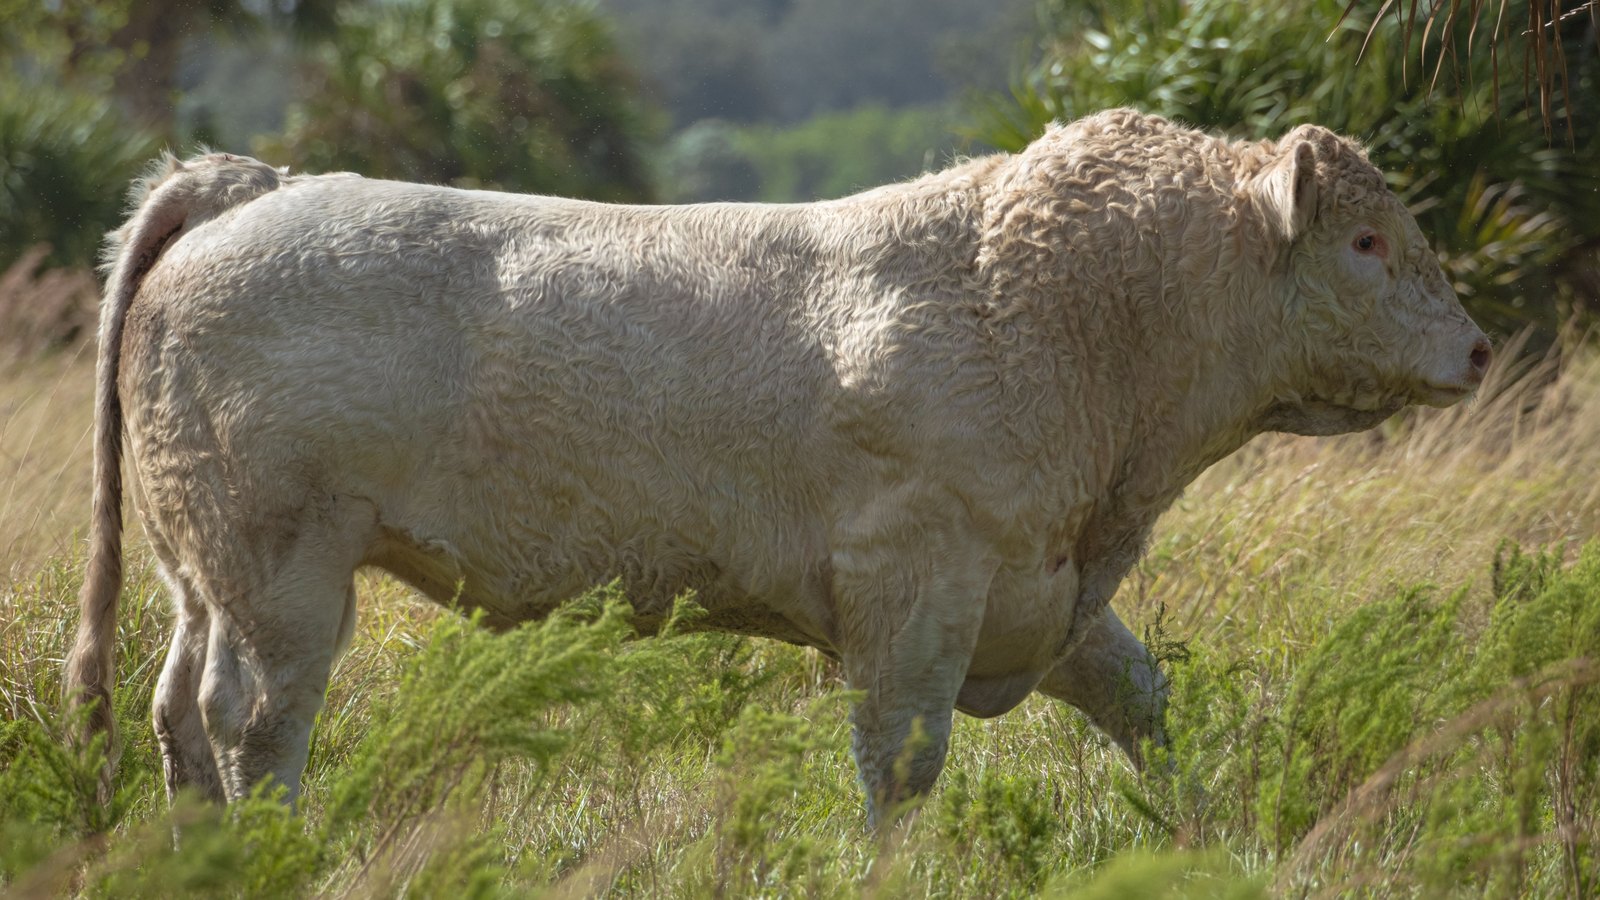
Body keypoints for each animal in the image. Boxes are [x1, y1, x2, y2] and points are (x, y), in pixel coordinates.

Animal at [64, 109, 1490, 826]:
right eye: (1366, 241)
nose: (1475, 348)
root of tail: (258, 186)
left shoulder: (1039, 582)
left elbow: (1143, 704)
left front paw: (1215, 833)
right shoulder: (915, 586)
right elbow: (899, 767)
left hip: (206, 568)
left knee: (177, 709)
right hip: (287, 567)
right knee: (256, 722)